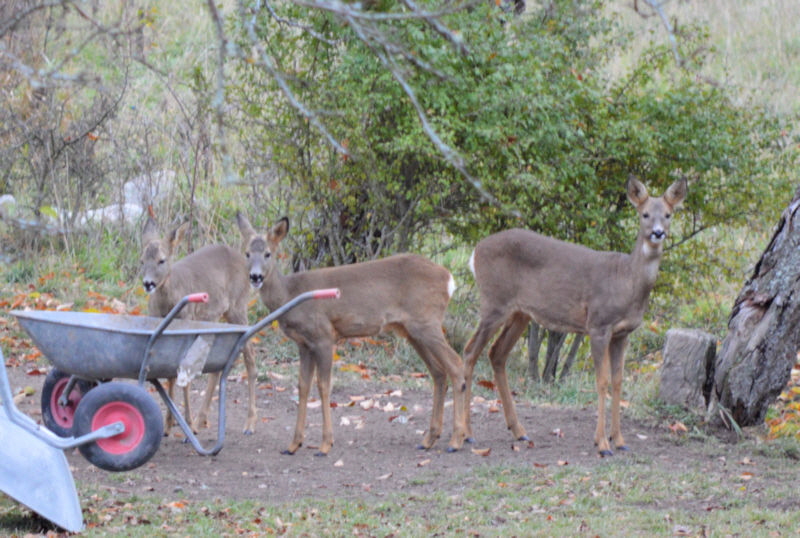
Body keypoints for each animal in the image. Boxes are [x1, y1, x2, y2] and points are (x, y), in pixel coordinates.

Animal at [140, 216, 260, 434]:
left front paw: (185, 424)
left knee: (250, 355)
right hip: (214, 317)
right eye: (142, 261)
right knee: (218, 366)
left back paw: (249, 423)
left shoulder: (187, 321)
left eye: (162, 260)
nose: (148, 283)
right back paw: (201, 419)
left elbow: (184, 378)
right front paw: (169, 425)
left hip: (238, 307)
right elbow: (170, 376)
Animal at [234, 211, 466, 454]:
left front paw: (325, 444)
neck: (290, 294)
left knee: (456, 365)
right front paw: (293, 444)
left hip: (426, 322)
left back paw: (455, 441)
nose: (255, 277)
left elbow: (324, 386)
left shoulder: (324, 336)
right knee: (439, 373)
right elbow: (303, 386)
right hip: (412, 330)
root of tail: (448, 278)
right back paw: (429, 439)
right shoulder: (303, 344)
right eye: (247, 253)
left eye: (268, 253)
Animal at [462, 176, 688, 452]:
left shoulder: (622, 333)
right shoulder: (598, 324)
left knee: (496, 354)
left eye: (668, 214)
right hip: (494, 302)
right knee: (470, 351)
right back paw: (467, 434)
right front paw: (602, 443)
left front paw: (620, 441)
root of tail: (475, 251)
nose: (658, 232)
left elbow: (618, 382)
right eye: (644, 214)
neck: (626, 280)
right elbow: (601, 382)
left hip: (520, 313)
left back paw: (519, 432)